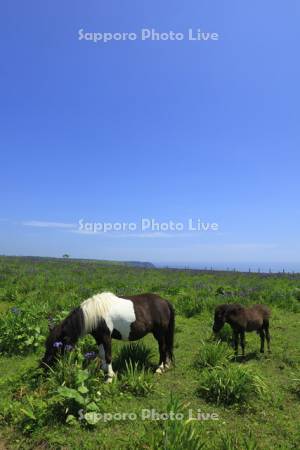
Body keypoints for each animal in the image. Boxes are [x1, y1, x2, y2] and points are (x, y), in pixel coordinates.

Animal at [41, 292, 173, 380]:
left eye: (56, 347)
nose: (43, 366)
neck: (94, 314)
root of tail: (164, 301)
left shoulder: (106, 337)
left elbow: (108, 355)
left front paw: (110, 376)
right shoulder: (98, 337)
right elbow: (102, 354)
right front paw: (103, 369)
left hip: (159, 333)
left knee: (162, 348)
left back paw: (159, 369)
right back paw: (166, 366)